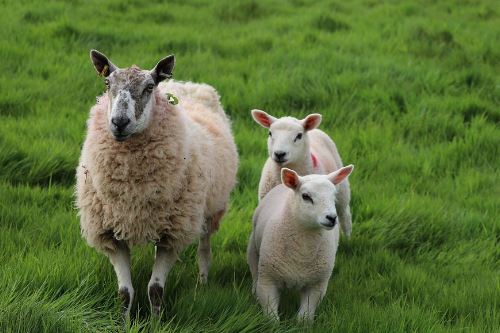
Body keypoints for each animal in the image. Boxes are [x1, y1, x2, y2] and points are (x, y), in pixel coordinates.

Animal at [75, 50, 238, 316]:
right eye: (107, 84)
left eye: (149, 87)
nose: (119, 122)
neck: (132, 192)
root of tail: (185, 84)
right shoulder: (110, 234)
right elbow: (125, 293)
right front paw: (124, 321)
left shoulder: (172, 235)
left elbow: (155, 290)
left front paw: (156, 320)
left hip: (210, 209)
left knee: (204, 249)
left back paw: (202, 283)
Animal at [248, 165, 354, 320]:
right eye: (306, 196)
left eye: (334, 196)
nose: (332, 218)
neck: (302, 252)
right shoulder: (268, 280)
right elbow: (271, 316)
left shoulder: (317, 285)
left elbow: (305, 317)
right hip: (253, 252)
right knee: (254, 271)